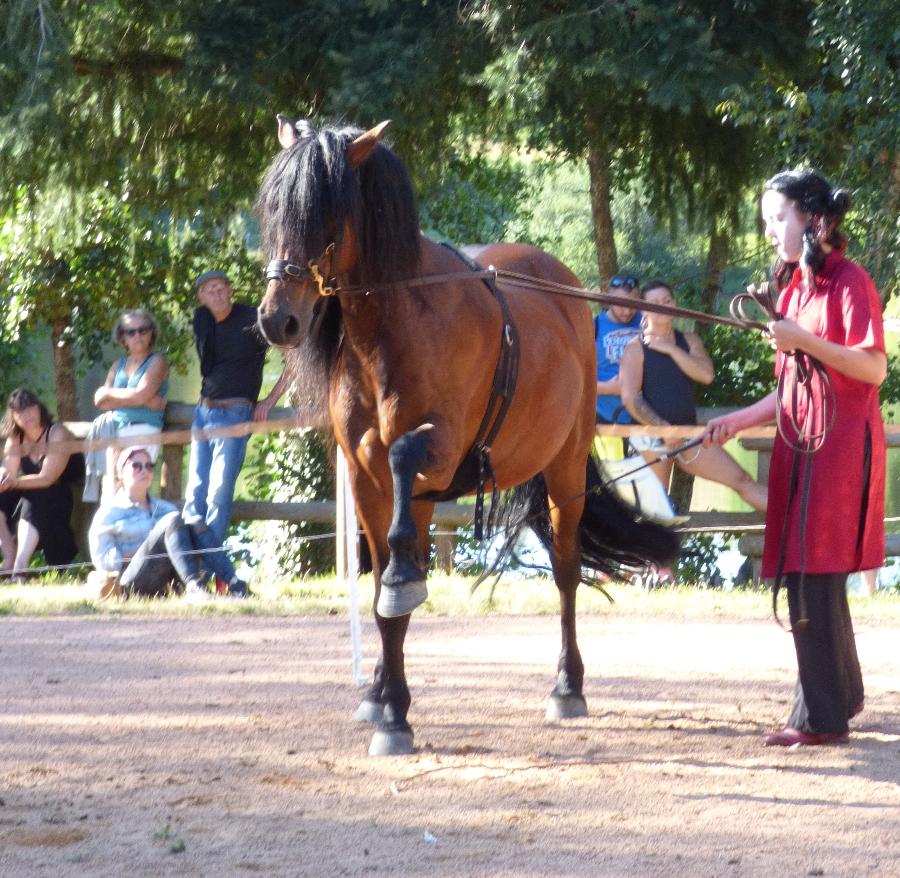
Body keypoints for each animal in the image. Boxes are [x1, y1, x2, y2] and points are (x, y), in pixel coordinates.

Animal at [253, 117, 676, 756]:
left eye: (325, 214)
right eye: (273, 211)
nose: (278, 319)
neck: (397, 325)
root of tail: (569, 293)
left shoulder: (439, 449)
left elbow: (404, 481)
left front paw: (395, 708)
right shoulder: (366, 476)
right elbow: (384, 588)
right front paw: (388, 704)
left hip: (565, 467)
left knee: (567, 571)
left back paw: (567, 687)